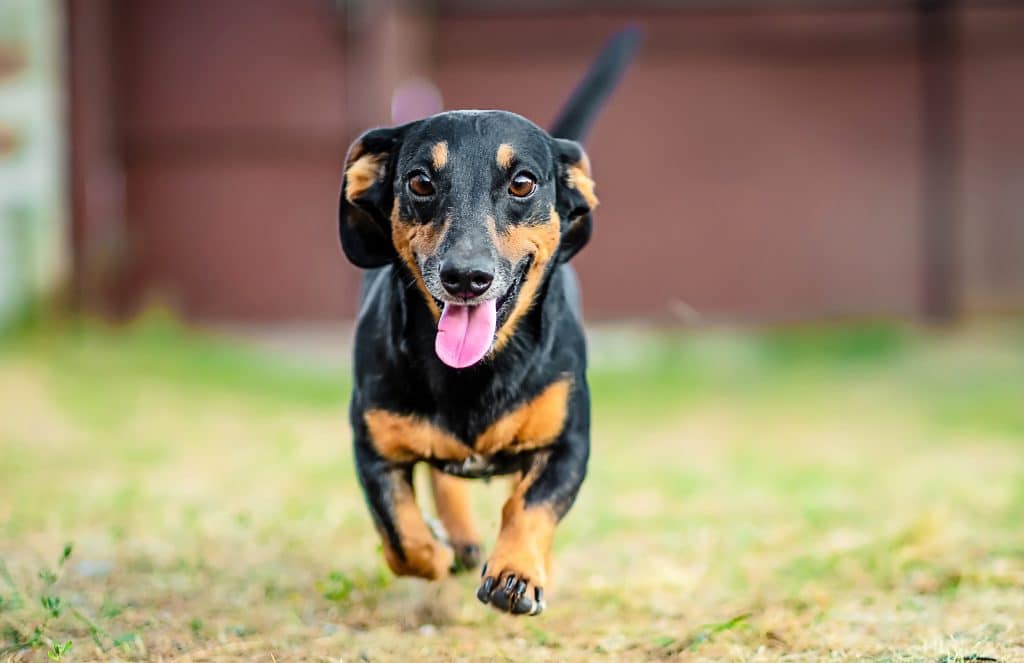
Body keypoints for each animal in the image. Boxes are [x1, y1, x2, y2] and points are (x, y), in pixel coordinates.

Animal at [339, 28, 634, 614]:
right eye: (420, 182)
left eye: (522, 183)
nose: (466, 277)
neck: (475, 374)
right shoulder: (372, 447)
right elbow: (400, 536)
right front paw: (434, 552)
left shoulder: (569, 445)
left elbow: (529, 505)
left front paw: (517, 571)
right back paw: (457, 540)